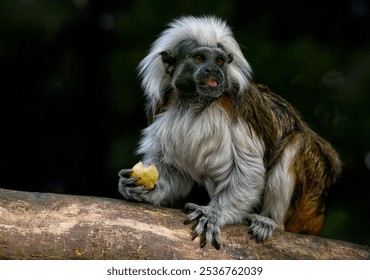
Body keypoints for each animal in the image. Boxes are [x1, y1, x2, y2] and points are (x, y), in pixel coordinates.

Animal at [118, 15, 342, 249]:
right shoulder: (164, 111)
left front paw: (214, 214)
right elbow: (177, 170)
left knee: (297, 144)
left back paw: (269, 221)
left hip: (309, 200)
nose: (213, 71)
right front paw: (138, 189)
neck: (195, 104)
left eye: (219, 61)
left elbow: (248, 171)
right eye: (199, 58)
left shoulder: (238, 114)